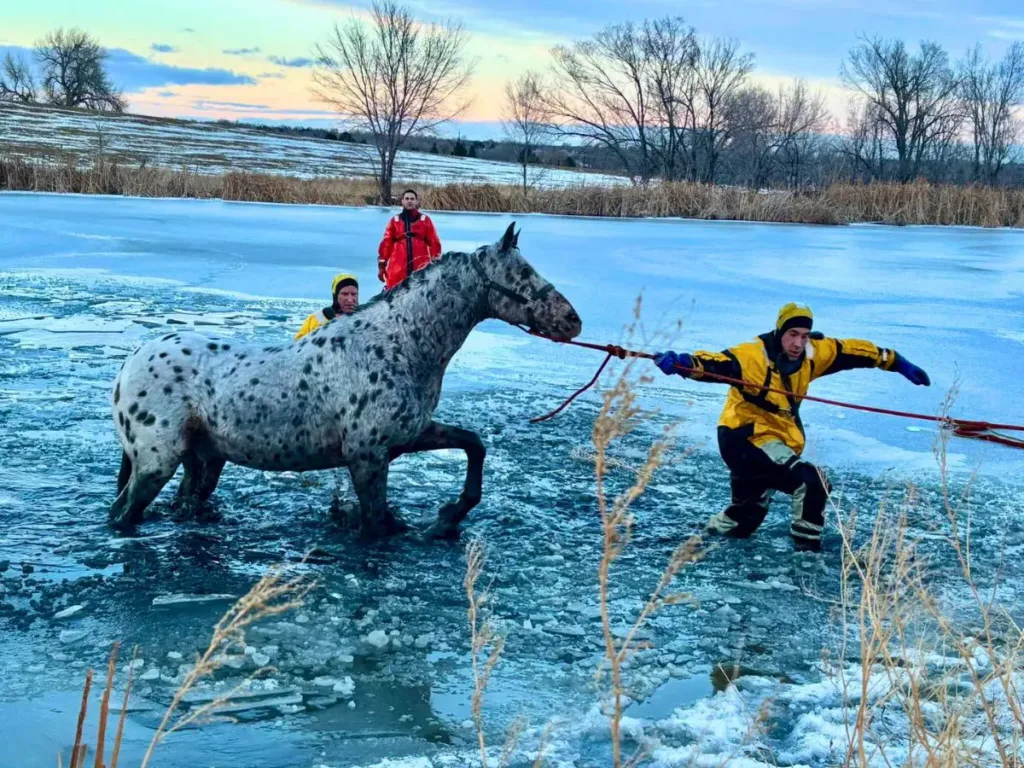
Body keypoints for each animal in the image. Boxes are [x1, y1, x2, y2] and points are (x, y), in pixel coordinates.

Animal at [110, 222, 585, 536]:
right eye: (523, 274)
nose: (572, 320)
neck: (399, 345)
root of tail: (132, 360)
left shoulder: (407, 437)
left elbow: (474, 444)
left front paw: (450, 514)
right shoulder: (366, 457)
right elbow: (374, 527)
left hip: (203, 459)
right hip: (156, 462)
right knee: (124, 513)